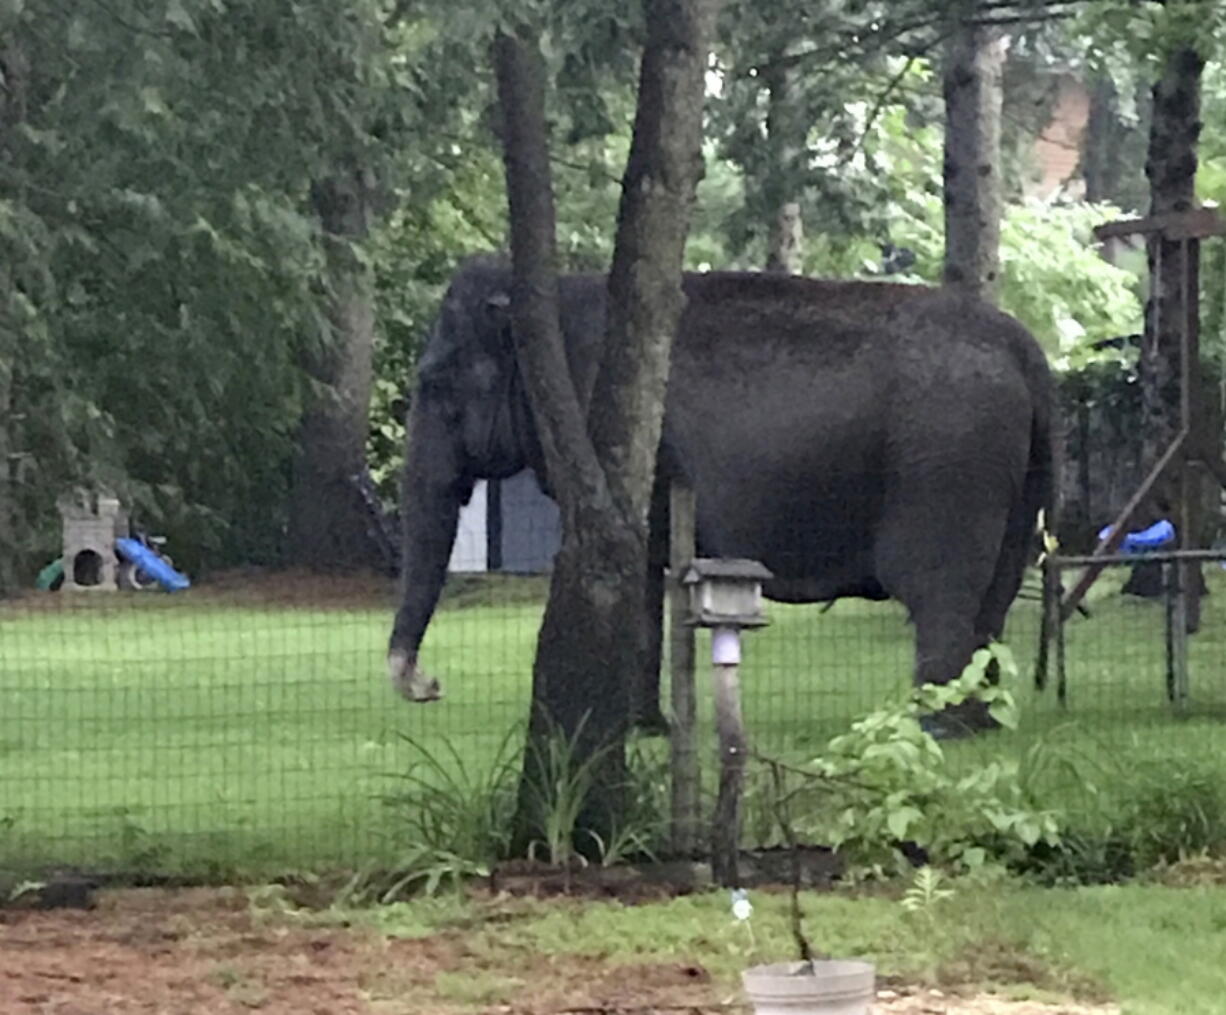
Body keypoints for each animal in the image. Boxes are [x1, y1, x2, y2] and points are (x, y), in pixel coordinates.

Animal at [389, 256, 1054, 735]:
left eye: (434, 384)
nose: (430, 686)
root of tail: (1027, 350)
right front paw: (651, 728)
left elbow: (641, 568)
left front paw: (642, 730)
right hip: (1014, 473)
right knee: (994, 594)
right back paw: (981, 724)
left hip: (947, 459)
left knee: (938, 590)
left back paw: (934, 730)